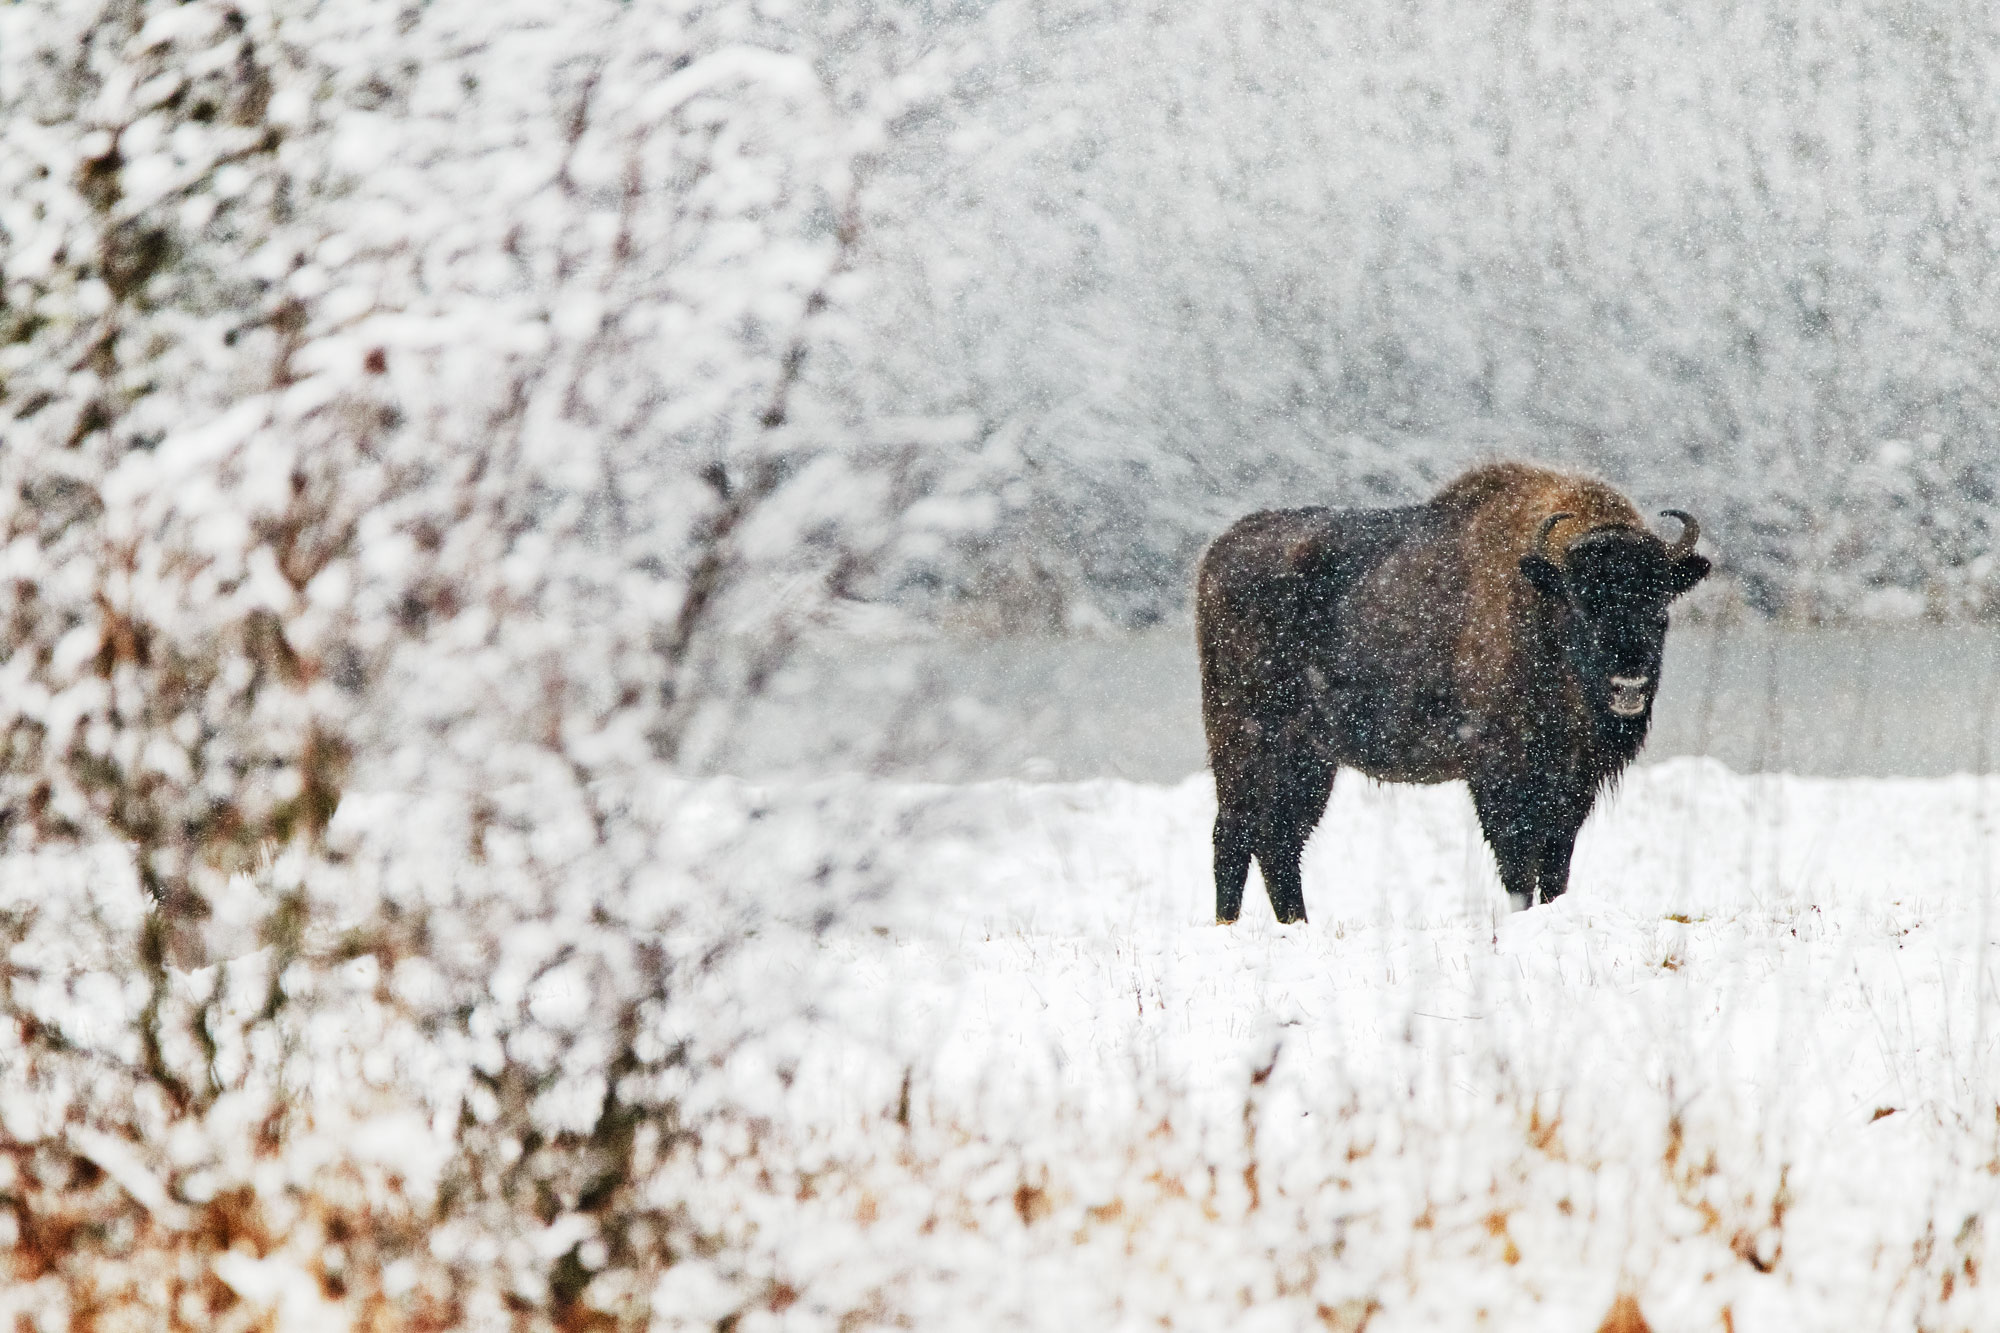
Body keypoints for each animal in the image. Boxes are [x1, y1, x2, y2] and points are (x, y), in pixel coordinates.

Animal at [1192, 462, 1712, 920]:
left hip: (1309, 759)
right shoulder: (1501, 774)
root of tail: (1216, 556)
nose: (1629, 685)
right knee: (1234, 835)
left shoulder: (1572, 784)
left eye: (1659, 606)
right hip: (1245, 742)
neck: (1537, 597)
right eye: (1581, 604)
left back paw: (1296, 925)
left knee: (1278, 839)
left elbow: (1555, 867)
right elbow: (1518, 866)